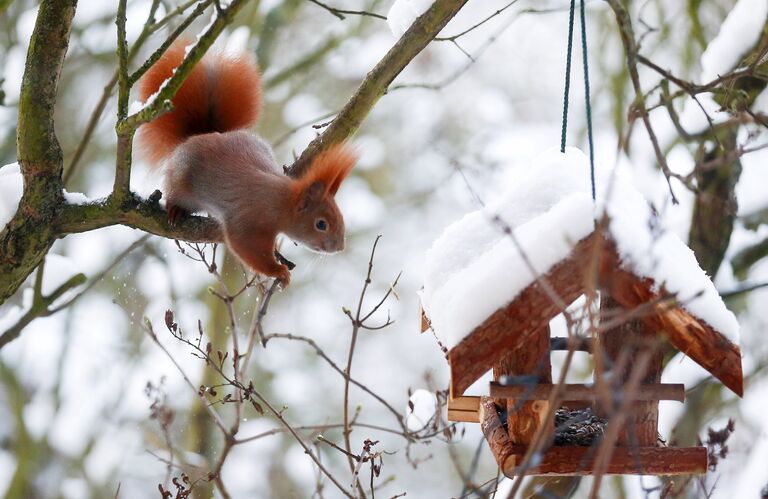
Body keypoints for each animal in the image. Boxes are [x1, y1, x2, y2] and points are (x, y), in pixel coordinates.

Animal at [136, 42, 356, 286]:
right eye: (321, 224)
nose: (340, 246)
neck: (281, 201)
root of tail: (202, 135)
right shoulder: (248, 219)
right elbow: (246, 248)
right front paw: (278, 271)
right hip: (180, 178)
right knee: (174, 192)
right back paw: (175, 209)